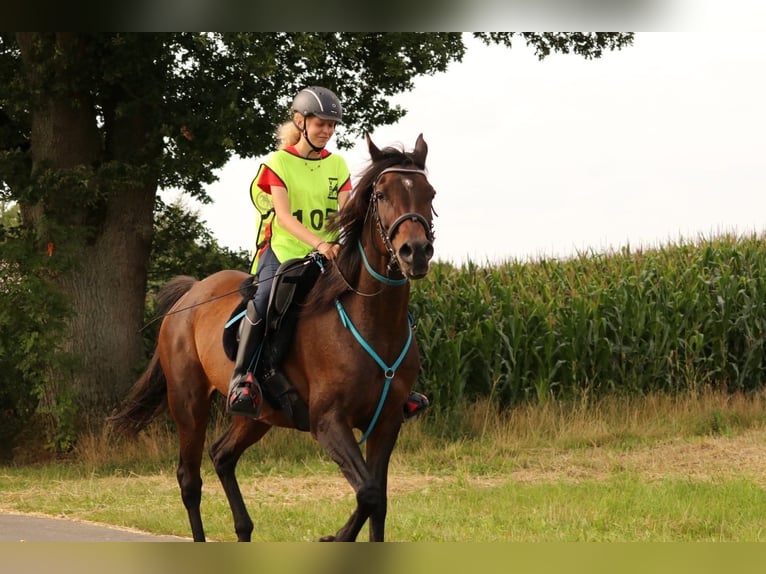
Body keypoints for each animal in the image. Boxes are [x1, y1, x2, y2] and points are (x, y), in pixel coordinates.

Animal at [110, 133, 436, 542]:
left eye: (430, 193)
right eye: (381, 194)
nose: (416, 252)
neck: (371, 321)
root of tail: (189, 296)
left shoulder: (386, 422)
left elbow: (378, 501)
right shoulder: (328, 422)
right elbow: (370, 493)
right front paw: (334, 538)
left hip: (257, 415)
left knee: (222, 455)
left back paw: (244, 529)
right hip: (188, 404)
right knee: (189, 480)